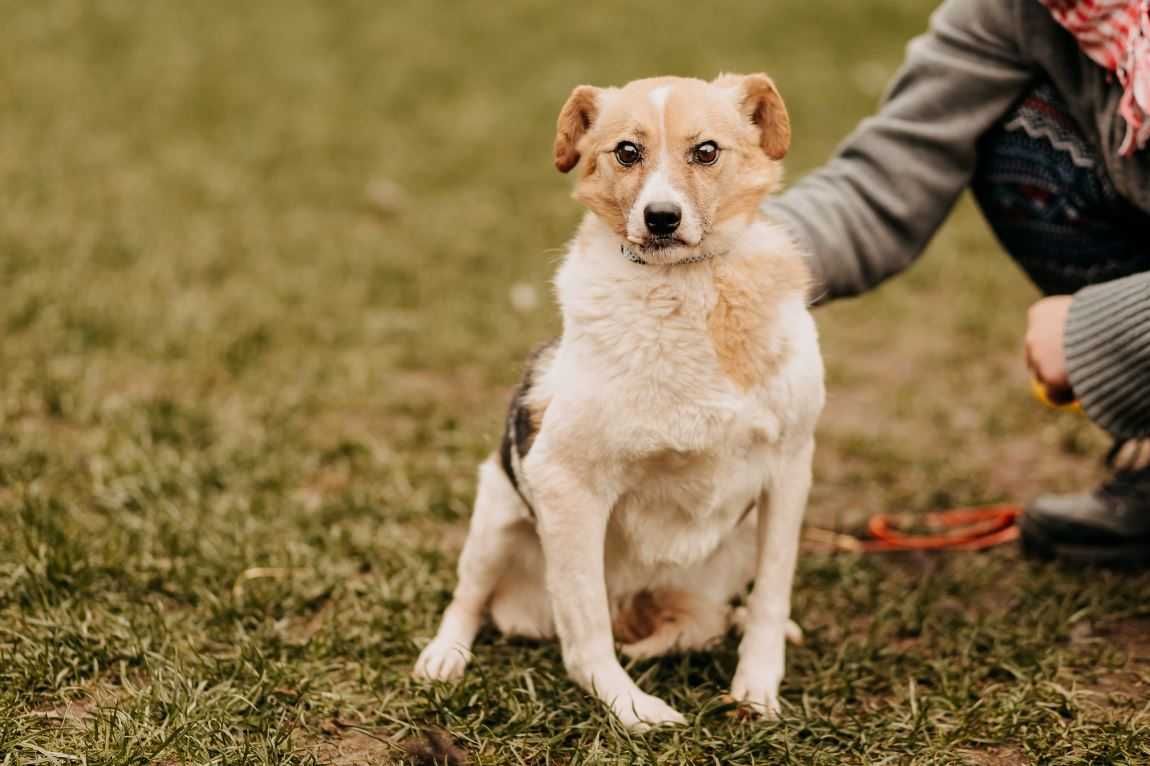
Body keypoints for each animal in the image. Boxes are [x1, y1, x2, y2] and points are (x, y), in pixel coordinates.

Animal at [414, 71, 828, 726]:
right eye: (627, 152)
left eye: (705, 150)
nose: (660, 218)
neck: (685, 287)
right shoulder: (566, 485)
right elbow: (586, 640)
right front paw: (629, 709)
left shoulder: (789, 469)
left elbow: (771, 594)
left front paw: (758, 685)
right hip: (495, 519)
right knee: (471, 601)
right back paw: (446, 655)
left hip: (737, 543)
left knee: (724, 611)